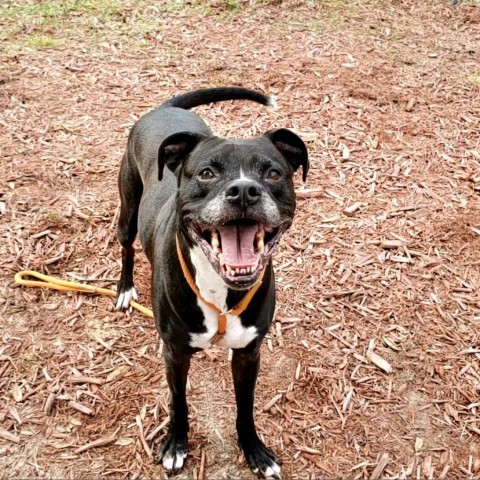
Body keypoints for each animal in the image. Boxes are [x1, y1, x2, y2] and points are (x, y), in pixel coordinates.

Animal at [116, 88, 310, 478]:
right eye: (206, 173)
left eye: (273, 173)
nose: (244, 190)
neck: (222, 292)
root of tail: (164, 110)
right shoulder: (174, 353)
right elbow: (178, 401)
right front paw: (176, 444)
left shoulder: (249, 353)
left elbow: (245, 407)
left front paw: (254, 450)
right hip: (128, 210)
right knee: (126, 246)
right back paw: (125, 288)